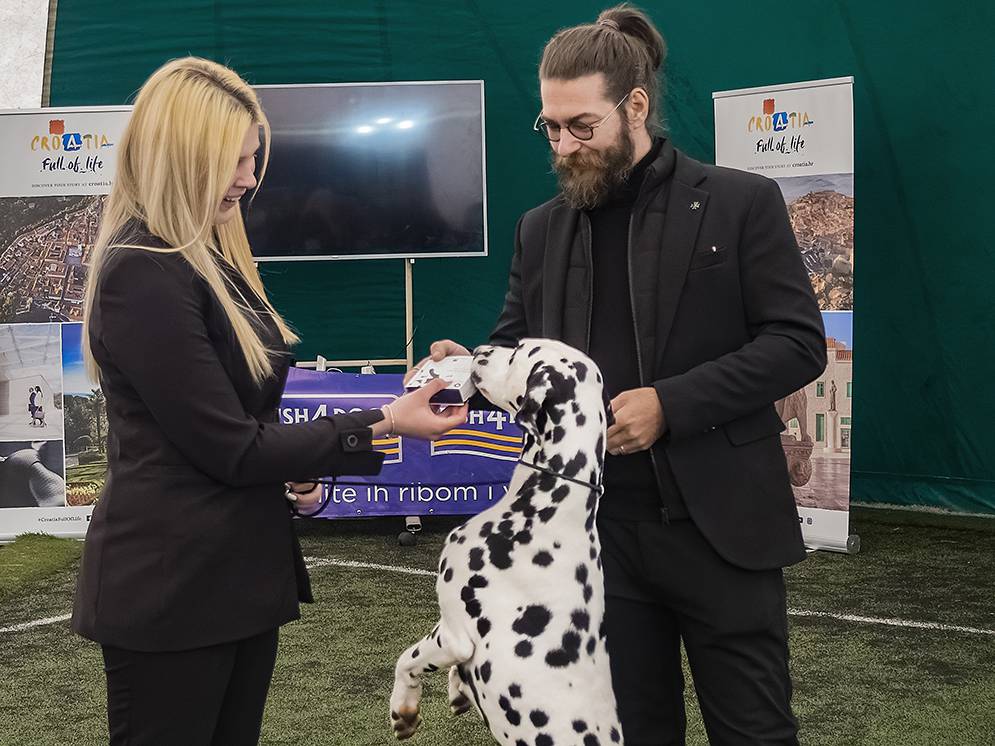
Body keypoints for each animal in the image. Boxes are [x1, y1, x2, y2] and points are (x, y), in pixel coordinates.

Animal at [392, 338, 620, 744]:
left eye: (519, 351)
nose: (479, 349)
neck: (550, 498)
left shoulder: (454, 633)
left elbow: (407, 659)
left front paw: (403, 709)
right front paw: (457, 688)